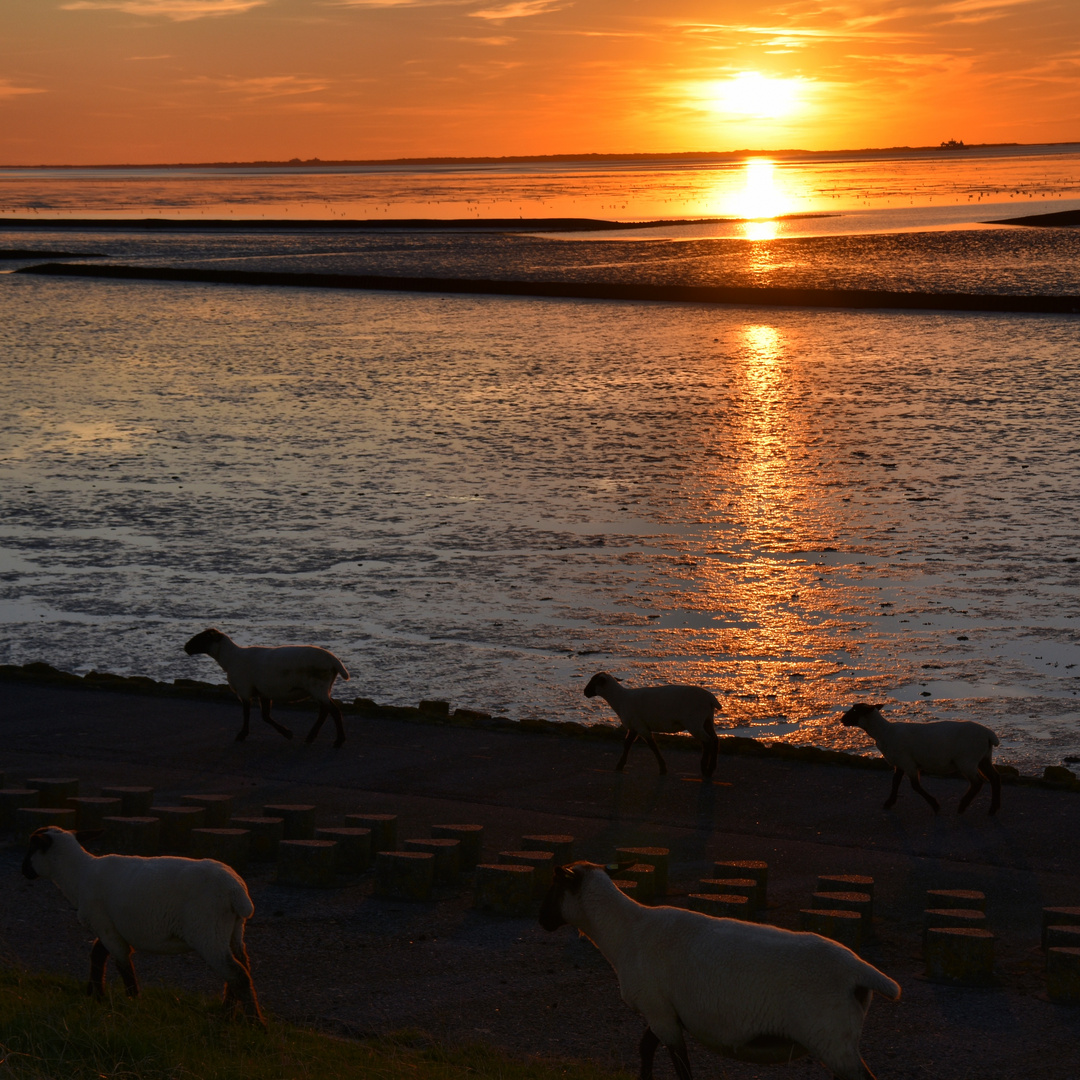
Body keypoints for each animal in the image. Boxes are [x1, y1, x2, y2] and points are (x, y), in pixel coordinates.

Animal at [21, 829, 265, 1023]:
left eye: (32, 847)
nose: (23, 871)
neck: (79, 875)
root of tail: (236, 890)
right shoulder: (110, 927)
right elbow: (97, 955)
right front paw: (95, 994)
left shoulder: (106, 926)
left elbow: (123, 967)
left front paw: (131, 1003)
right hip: (233, 931)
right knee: (242, 967)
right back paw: (227, 1013)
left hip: (208, 933)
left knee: (238, 974)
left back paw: (255, 1022)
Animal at [184, 630, 349, 747]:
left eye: (203, 638)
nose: (186, 648)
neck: (230, 659)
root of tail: (334, 660)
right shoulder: (263, 692)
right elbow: (265, 716)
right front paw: (287, 733)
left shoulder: (244, 690)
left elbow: (247, 714)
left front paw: (242, 735)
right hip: (320, 689)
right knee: (325, 711)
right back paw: (311, 737)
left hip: (318, 687)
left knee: (333, 710)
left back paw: (338, 741)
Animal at [540, 859, 902, 1080]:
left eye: (554, 885)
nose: (542, 922)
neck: (626, 929)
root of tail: (861, 972)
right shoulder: (665, 1011)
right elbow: (645, 1049)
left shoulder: (659, 1012)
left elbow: (681, 1068)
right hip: (838, 1042)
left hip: (834, 1041)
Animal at [587, 669, 721, 781]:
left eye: (594, 681)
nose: (585, 692)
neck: (620, 699)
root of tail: (710, 698)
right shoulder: (634, 727)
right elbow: (627, 744)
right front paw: (619, 766)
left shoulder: (640, 726)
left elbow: (652, 746)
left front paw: (663, 769)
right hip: (707, 720)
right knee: (714, 739)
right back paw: (711, 768)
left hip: (695, 722)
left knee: (707, 741)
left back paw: (706, 769)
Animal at [838, 704, 997, 812]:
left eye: (855, 710)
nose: (841, 719)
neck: (884, 732)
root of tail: (989, 734)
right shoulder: (900, 763)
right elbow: (895, 782)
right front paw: (889, 802)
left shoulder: (908, 763)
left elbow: (915, 786)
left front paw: (935, 805)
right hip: (983, 758)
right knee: (994, 778)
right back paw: (993, 809)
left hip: (967, 761)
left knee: (978, 783)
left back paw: (963, 806)